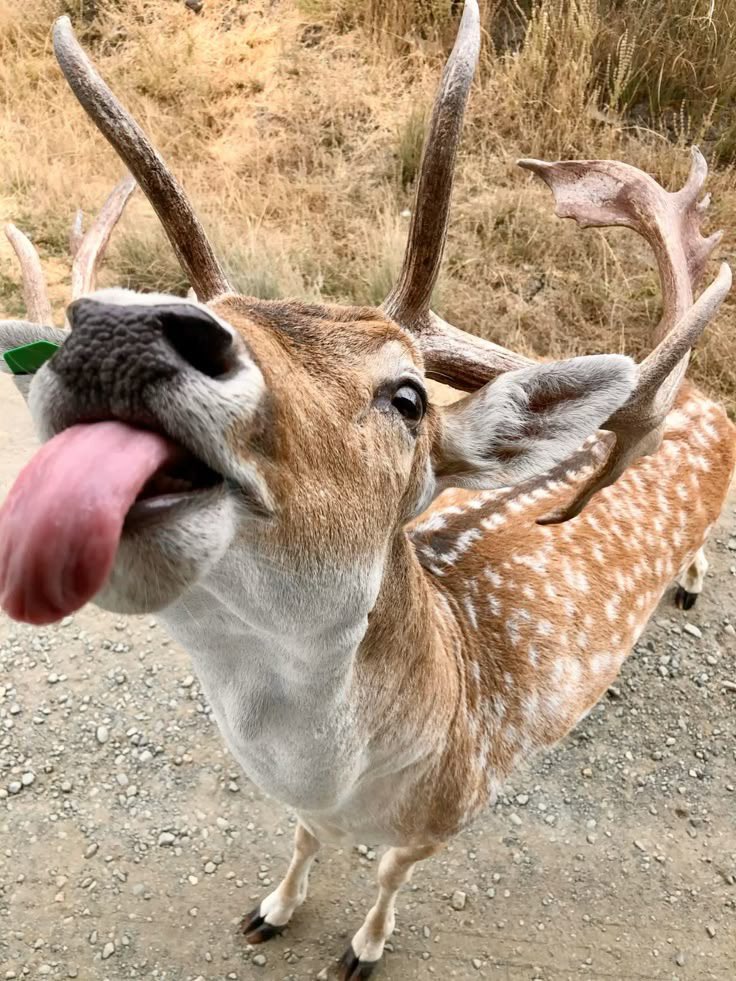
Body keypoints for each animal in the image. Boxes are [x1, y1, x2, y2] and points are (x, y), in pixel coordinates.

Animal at [0, 3, 734, 978]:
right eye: (217, 311)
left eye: (410, 395)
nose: (120, 328)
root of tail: (705, 395)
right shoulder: (310, 807)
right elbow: (302, 839)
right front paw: (271, 908)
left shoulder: (457, 807)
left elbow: (388, 874)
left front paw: (362, 946)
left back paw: (689, 584)